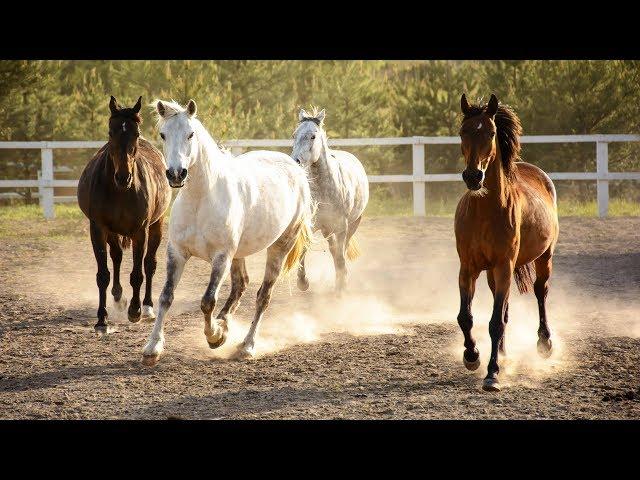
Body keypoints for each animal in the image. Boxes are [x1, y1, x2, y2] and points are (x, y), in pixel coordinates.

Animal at [77, 95, 171, 332]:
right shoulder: (98, 228)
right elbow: (103, 274)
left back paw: (147, 307)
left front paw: (135, 311)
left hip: (156, 225)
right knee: (117, 256)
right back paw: (118, 298)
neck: (120, 191)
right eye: (111, 132)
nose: (123, 177)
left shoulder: (140, 231)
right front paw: (102, 320)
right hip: (112, 232)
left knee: (149, 264)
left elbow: (138, 273)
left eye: (135, 133)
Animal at [145, 99, 316, 366]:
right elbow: (166, 296)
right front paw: (153, 348)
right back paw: (225, 324)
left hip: (279, 246)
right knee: (240, 285)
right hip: (239, 254)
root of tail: (295, 166)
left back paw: (246, 346)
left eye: (190, 134)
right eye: (163, 134)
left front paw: (213, 336)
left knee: (263, 296)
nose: (175, 174)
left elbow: (207, 301)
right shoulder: (177, 253)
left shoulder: (221, 257)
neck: (201, 199)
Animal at [292, 108, 368, 292]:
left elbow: (340, 256)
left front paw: (341, 287)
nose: (295, 161)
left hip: (353, 224)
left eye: (313, 136)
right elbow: (304, 248)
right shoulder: (312, 225)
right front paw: (303, 282)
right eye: (294, 135)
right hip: (327, 229)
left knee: (340, 251)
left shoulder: (341, 227)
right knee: (333, 249)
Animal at [456, 93, 560, 390]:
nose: (473, 177)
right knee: (503, 307)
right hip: (493, 272)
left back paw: (544, 343)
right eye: (463, 131)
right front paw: (472, 355)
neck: (486, 212)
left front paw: (492, 373)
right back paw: (501, 352)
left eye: (491, 132)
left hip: (544, 257)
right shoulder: (468, 268)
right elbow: (466, 317)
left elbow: (494, 323)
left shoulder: (504, 265)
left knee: (540, 292)